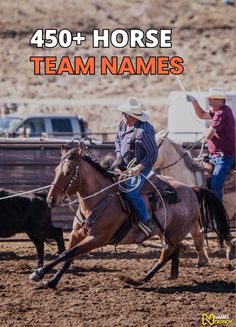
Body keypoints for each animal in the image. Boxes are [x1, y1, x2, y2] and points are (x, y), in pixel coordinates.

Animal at [28, 144, 231, 290]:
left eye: (69, 171)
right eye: (56, 170)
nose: (51, 199)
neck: (99, 198)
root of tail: (192, 189)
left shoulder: (98, 238)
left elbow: (68, 253)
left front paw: (39, 273)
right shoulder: (76, 234)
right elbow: (67, 256)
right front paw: (52, 281)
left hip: (174, 232)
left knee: (167, 252)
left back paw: (142, 278)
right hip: (166, 232)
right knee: (174, 250)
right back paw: (170, 274)